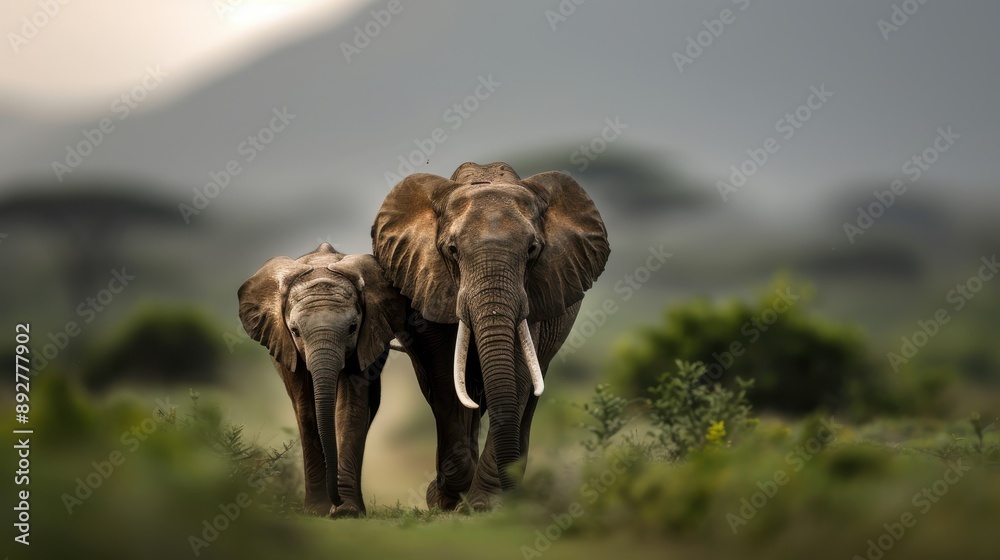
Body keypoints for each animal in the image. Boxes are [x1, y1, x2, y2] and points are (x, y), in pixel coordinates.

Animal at [238, 242, 406, 517]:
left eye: (352, 328)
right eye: (295, 331)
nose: (334, 501)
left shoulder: (366, 338)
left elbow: (349, 407)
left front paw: (347, 511)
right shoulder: (287, 347)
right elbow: (306, 410)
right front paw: (317, 510)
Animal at [372, 162, 610, 510]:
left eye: (532, 249)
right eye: (452, 250)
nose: (516, 495)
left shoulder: (533, 295)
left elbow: (518, 374)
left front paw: (484, 505)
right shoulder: (431, 284)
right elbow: (446, 380)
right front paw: (447, 498)